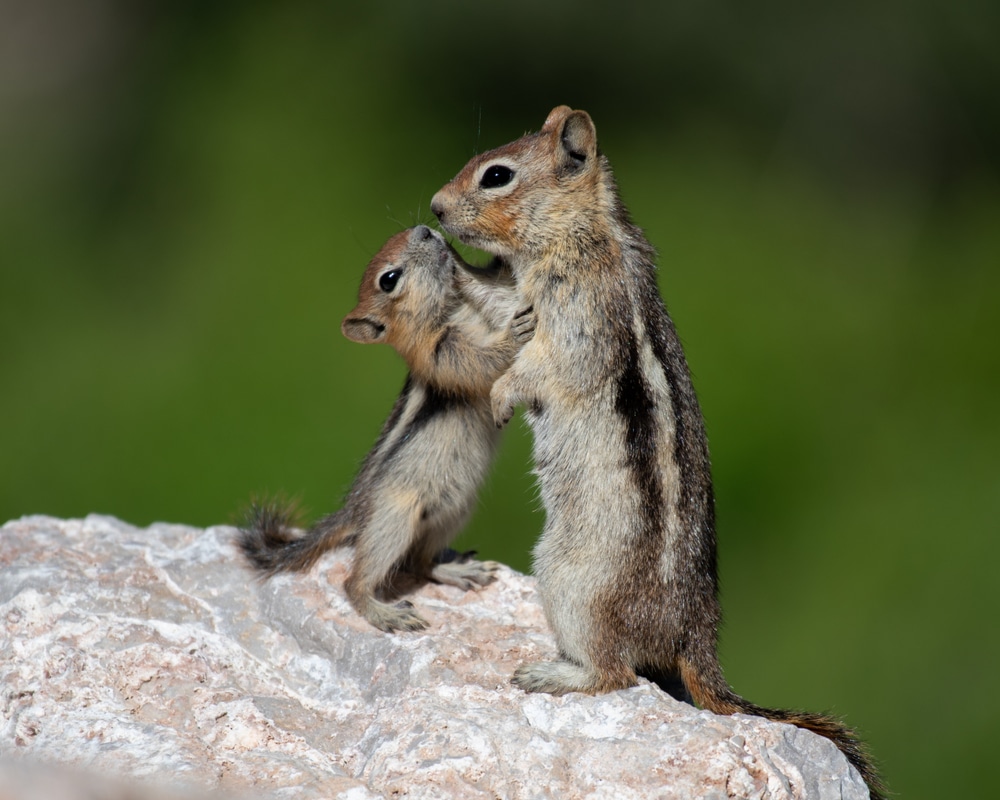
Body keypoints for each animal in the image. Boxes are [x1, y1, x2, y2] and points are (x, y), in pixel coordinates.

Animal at [236, 225, 532, 632]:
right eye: (389, 279)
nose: (424, 229)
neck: (454, 311)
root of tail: (353, 512)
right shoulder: (441, 354)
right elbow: (480, 364)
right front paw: (514, 333)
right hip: (394, 519)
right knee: (356, 581)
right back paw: (386, 613)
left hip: (454, 510)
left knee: (420, 562)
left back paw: (457, 572)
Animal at [430, 108, 884, 800]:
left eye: (497, 176)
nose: (434, 206)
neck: (583, 231)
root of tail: (695, 636)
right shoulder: (521, 297)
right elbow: (494, 300)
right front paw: (446, 259)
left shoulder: (576, 319)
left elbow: (543, 368)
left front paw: (504, 395)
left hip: (571, 582)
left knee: (616, 674)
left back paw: (553, 674)